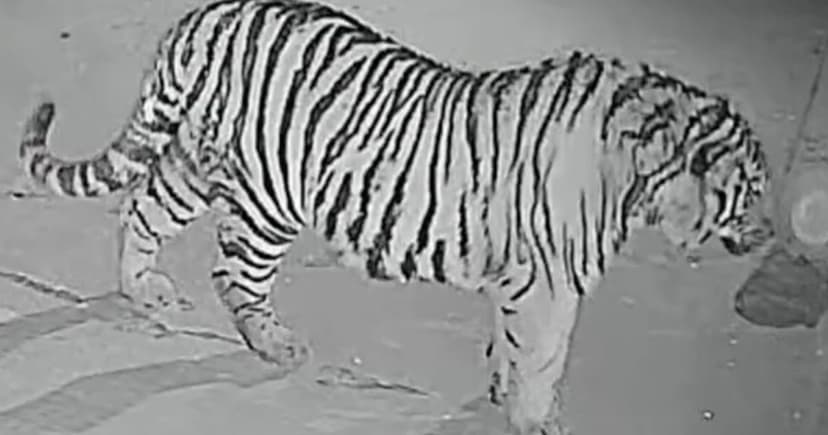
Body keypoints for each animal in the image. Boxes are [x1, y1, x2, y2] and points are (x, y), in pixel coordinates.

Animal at [13, 0, 774, 433]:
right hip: (270, 197)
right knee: (234, 272)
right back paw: (276, 344)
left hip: (196, 160)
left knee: (142, 207)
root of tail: (209, 16)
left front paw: (503, 393)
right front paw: (536, 419)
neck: (644, 171)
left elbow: (511, 348)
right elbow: (544, 358)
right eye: (754, 190)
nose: (771, 234)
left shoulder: (521, 281)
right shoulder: (551, 283)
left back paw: (144, 291)